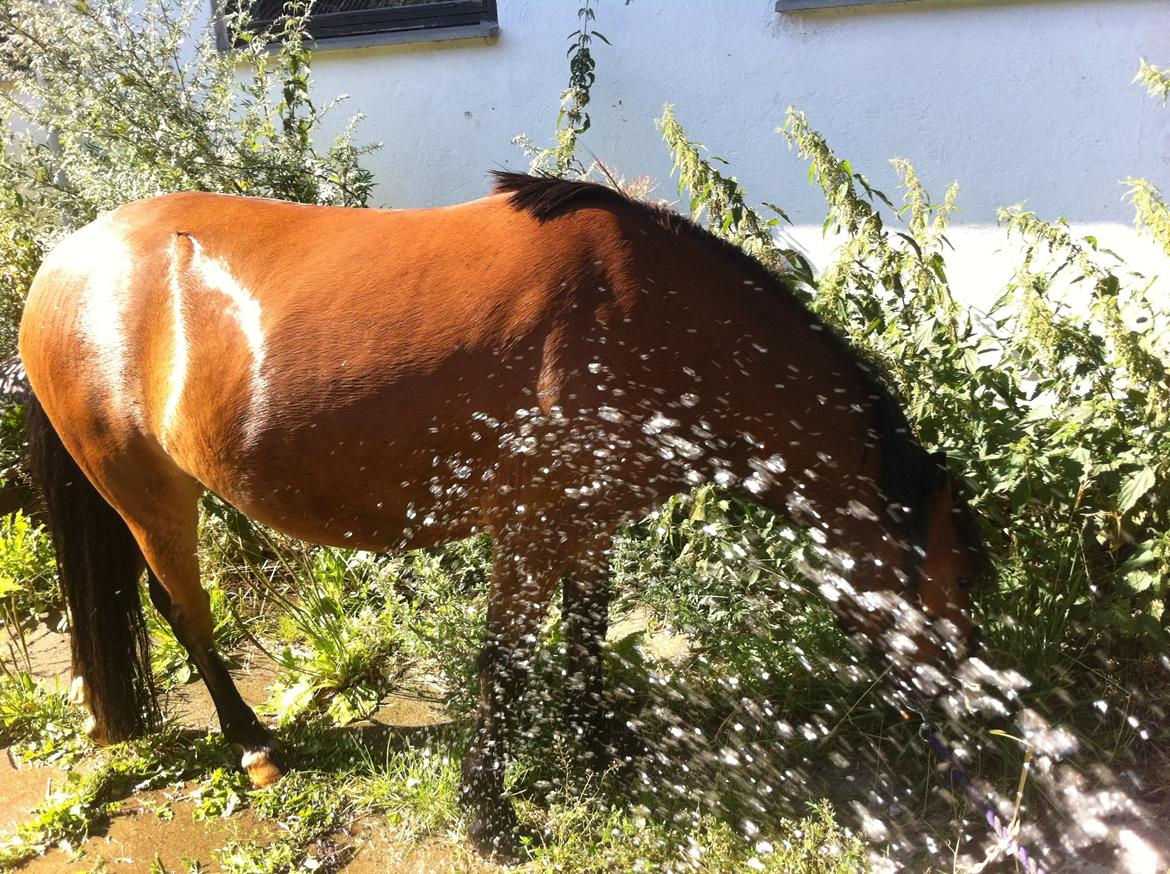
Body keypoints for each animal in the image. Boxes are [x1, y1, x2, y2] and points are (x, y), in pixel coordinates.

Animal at [18, 174, 987, 856]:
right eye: (956, 584)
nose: (973, 735)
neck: (653, 320)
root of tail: (62, 263)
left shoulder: (589, 521)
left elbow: (586, 634)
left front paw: (602, 751)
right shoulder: (530, 526)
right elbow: (506, 661)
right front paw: (492, 819)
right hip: (146, 489)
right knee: (186, 610)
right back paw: (253, 743)